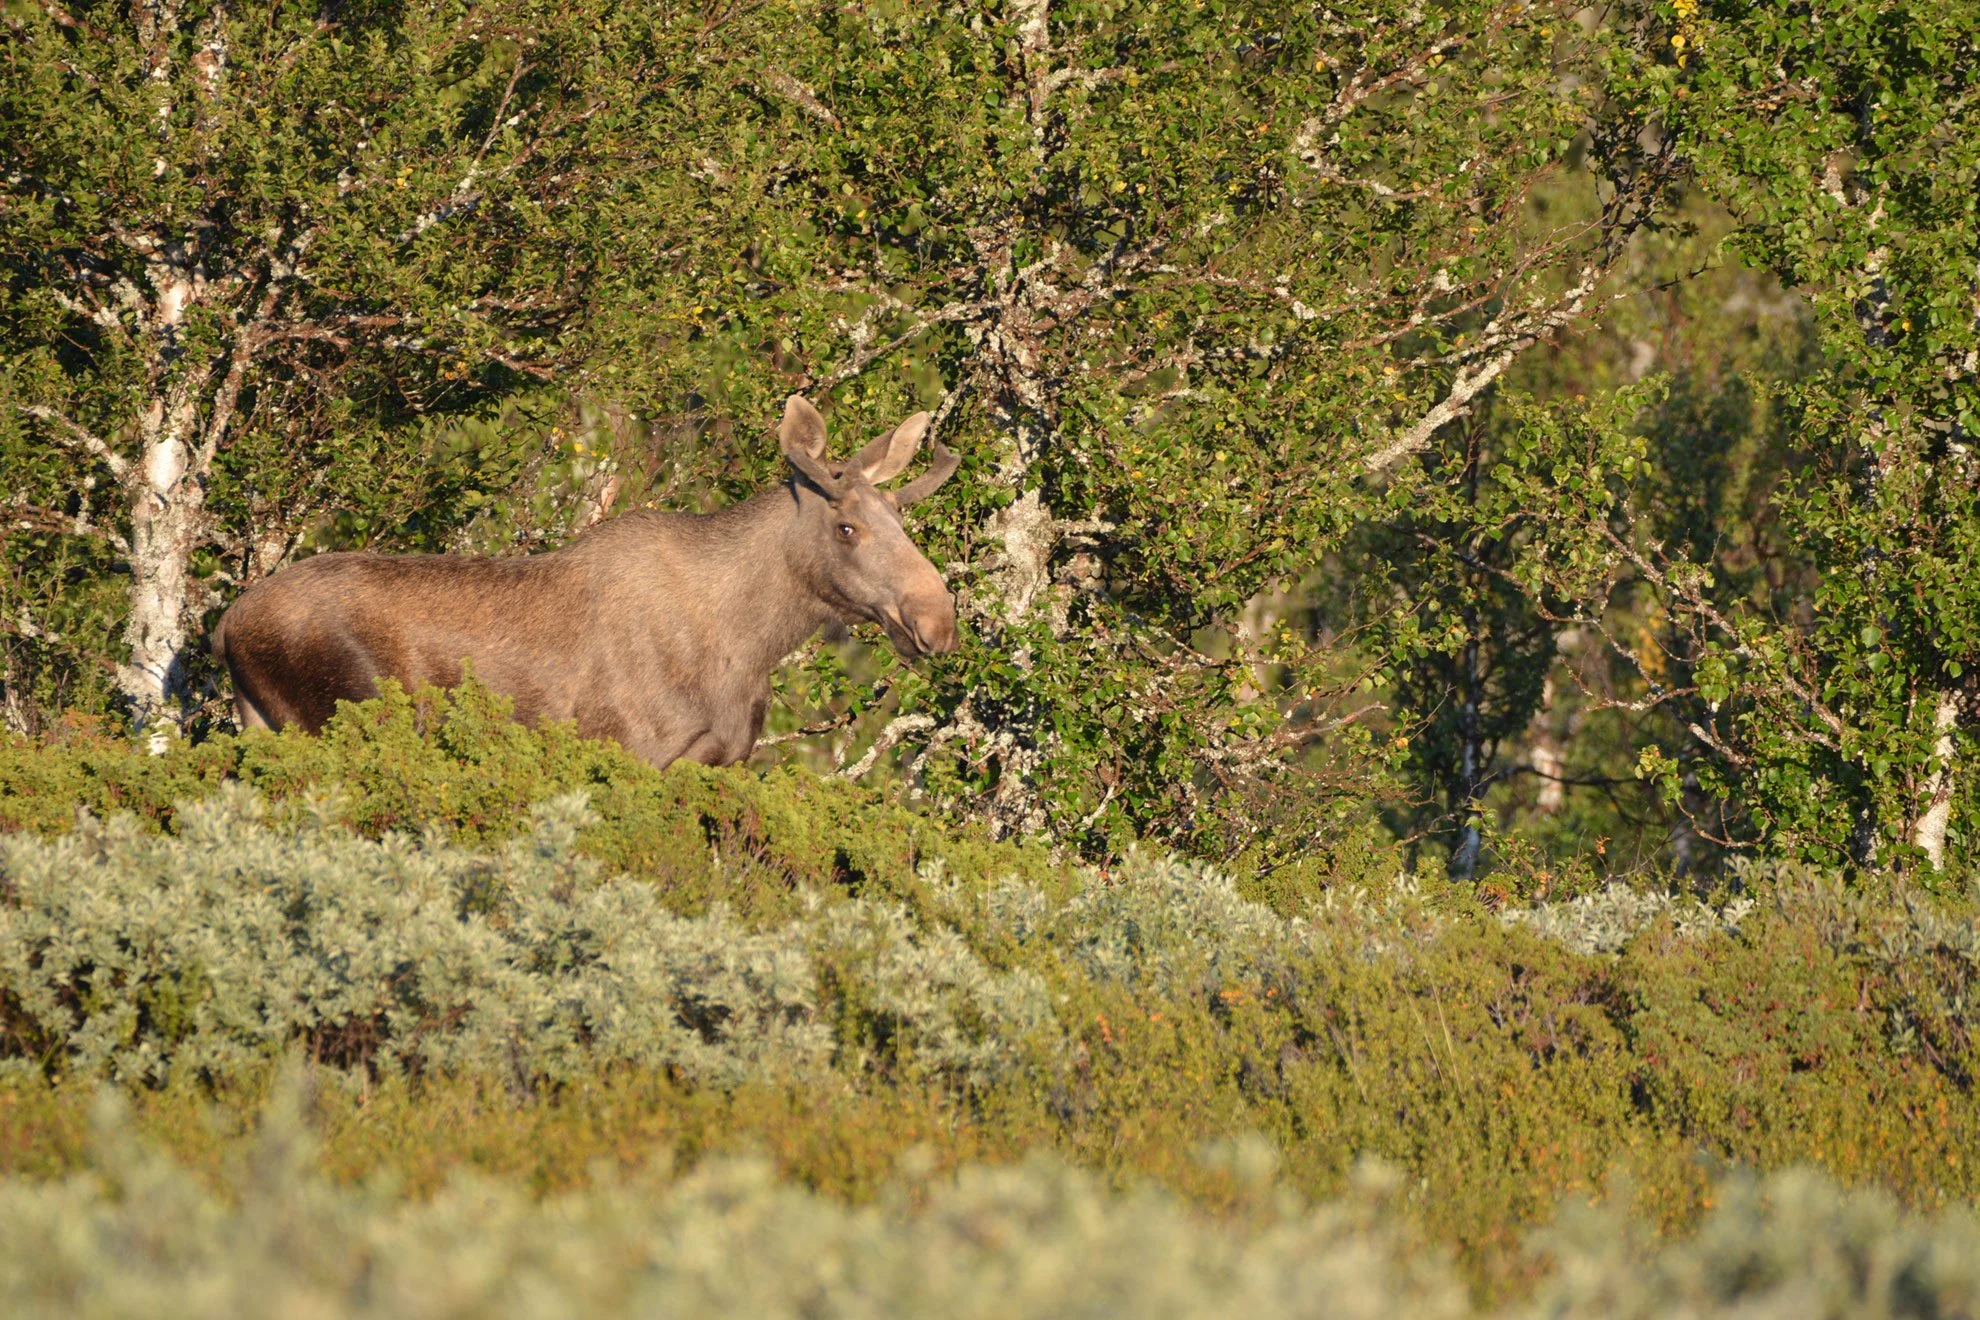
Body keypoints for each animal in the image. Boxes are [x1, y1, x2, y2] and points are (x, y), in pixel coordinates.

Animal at [209, 396, 960, 769]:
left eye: (901, 516)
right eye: (847, 528)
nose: (937, 619)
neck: (753, 645)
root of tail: (223, 630)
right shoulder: (635, 755)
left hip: (261, 728)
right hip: (343, 721)